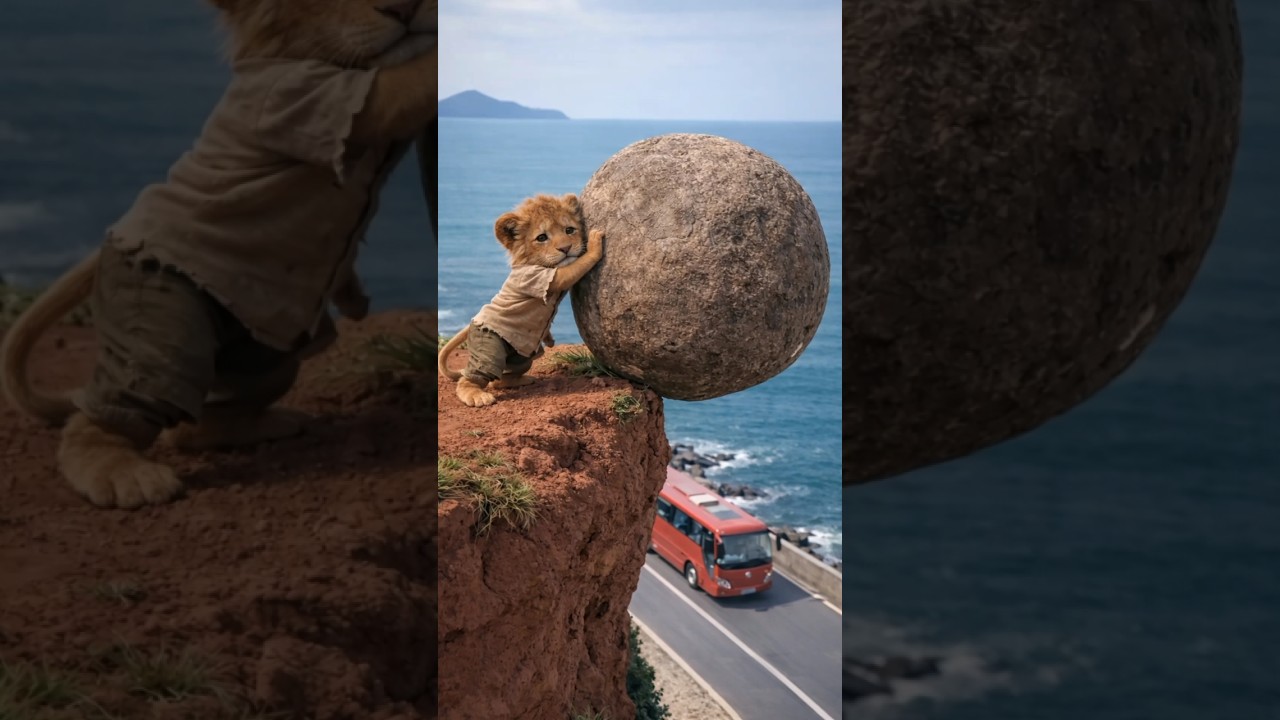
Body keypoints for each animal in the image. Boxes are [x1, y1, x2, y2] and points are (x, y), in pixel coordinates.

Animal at [0, 0, 437, 509]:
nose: (403, 10)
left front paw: (353, 298)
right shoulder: (303, 98)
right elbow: (407, 82)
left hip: (269, 360)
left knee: (199, 423)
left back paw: (261, 425)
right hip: (160, 323)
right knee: (112, 412)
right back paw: (125, 476)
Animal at [438, 194, 606, 408]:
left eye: (569, 230)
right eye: (542, 237)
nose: (566, 248)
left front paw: (549, 339)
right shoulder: (536, 278)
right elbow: (572, 269)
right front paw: (595, 244)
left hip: (523, 358)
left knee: (502, 377)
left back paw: (516, 381)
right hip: (488, 348)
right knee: (475, 375)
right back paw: (476, 395)